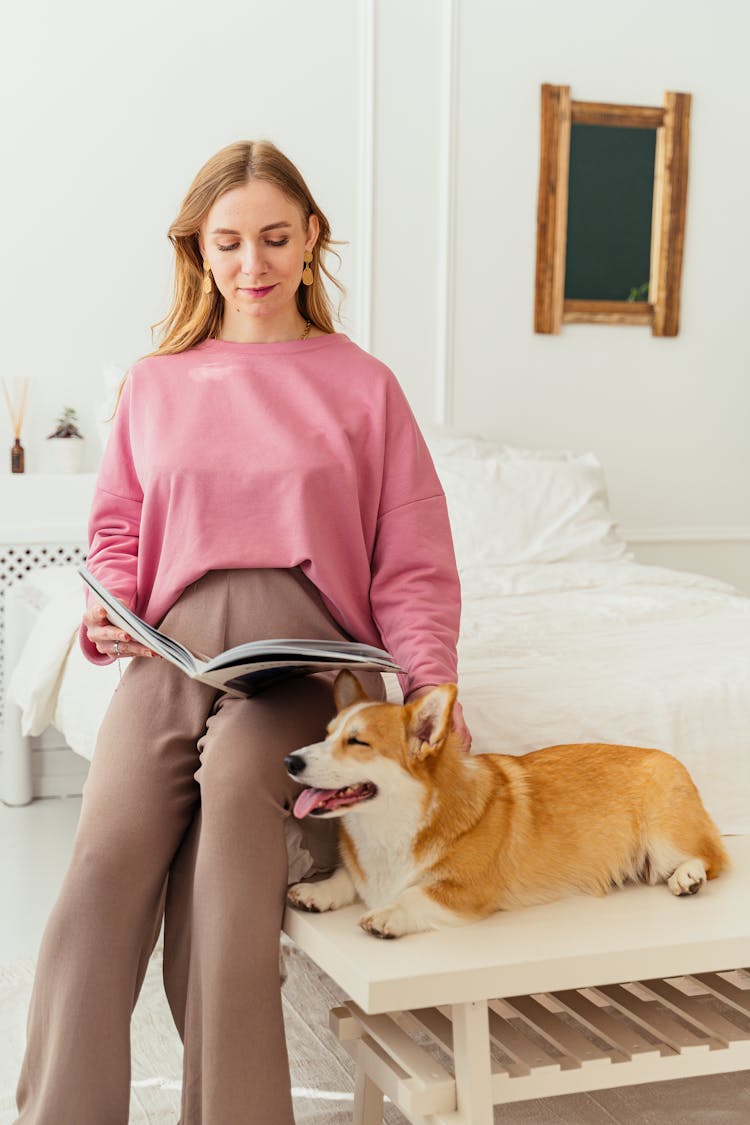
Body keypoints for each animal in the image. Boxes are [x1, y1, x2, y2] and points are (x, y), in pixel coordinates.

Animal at [284, 670, 728, 936]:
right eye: (326, 734)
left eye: (357, 742)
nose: (290, 761)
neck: (391, 824)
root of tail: (667, 757)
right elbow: (345, 877)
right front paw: (317, 891)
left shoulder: (469, 892)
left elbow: (414, 895)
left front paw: (386, 915)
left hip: (664, 835)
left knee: (712, 858)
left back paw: (688, 877)